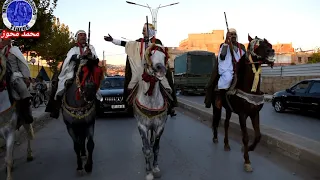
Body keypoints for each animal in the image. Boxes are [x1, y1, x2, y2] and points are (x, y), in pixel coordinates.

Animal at [127, 42, 172, 180]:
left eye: (164, 56)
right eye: (151, 54)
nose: (161, 69)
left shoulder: (160, 126)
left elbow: (156, 148)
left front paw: (156, 168)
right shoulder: (142, 126)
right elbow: (147, 150)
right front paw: (148, 172)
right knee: (146, 145)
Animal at [205, 34, 276, 172]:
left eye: (269, 44)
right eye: (257, 46)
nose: (271, 52)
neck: (250, 88)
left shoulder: (254, 114)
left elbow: (258, 136)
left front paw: (248, 149)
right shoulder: (242, 115)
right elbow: (245, 137)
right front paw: (247, 161)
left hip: (228, 109)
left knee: (226, 124)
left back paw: (226, 144)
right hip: (217, 107)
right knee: (216, 120)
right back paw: (215, 137)